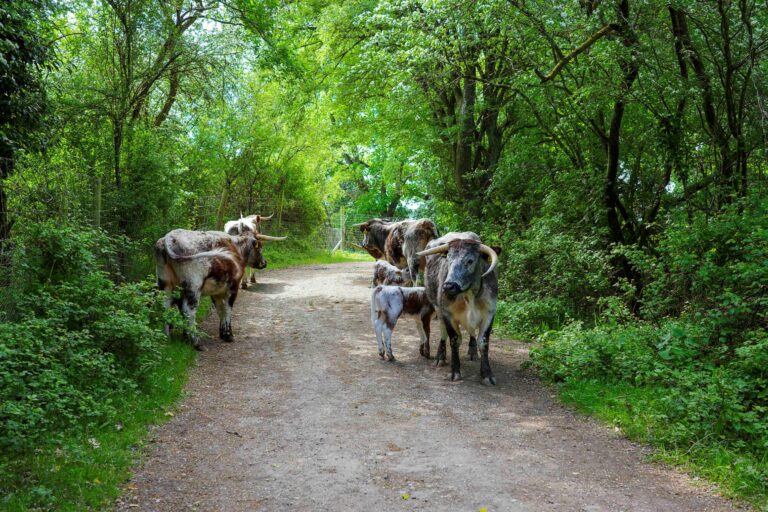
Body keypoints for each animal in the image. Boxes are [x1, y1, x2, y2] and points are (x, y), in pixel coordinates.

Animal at [155, 229, 284, 350]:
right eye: (260, 247)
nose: (264, 263)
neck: (236, 248)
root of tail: (170, 237)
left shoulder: (216, 290)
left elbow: (220, 310)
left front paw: (223, 333)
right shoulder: (233, 287)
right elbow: (227, 309)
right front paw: (228, 335)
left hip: (165, 284)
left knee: (165, 307)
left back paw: (167, 338)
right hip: (193, 286)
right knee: (189, 311)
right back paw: (196, 342)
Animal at [417, 232, 500, 385]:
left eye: (470, 261)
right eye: (448, 259)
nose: (448, 286)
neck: (469, 294)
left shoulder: (489, 313)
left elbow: (483, 342)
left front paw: (487, 374)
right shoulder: (447, 314)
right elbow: (454, 340)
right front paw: (454, 371)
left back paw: (472, 352)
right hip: (437, 309)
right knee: (443, 332)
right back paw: (440, 357)